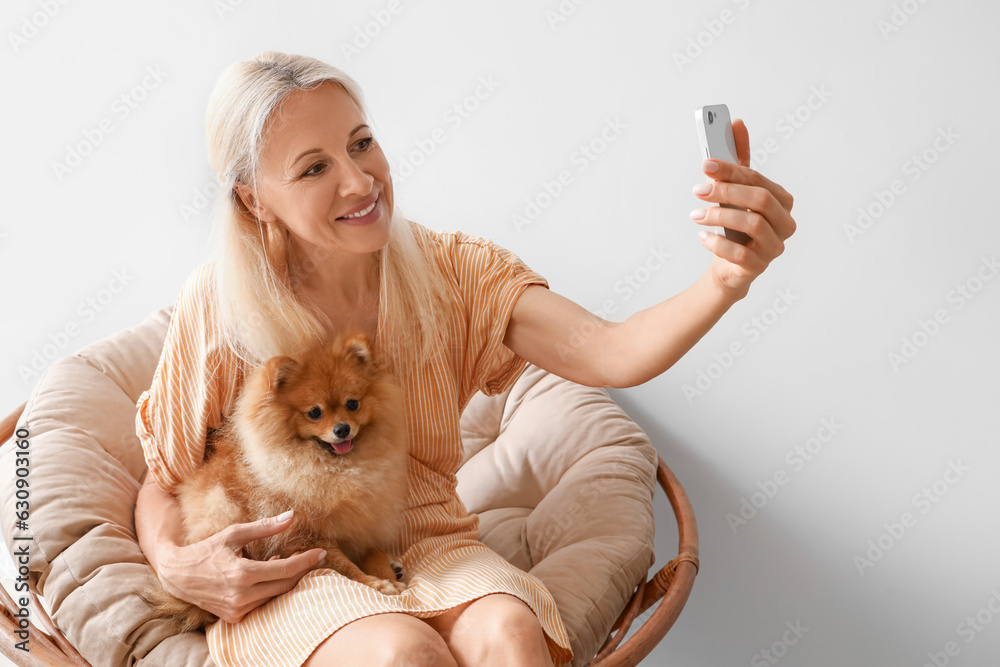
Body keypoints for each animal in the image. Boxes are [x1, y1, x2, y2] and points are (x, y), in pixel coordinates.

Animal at [143, 334, 408, 632]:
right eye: (314, 413)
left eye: (353, 404)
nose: (342, 429)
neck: (333, 469)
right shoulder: (304, 538)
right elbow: (346, 567)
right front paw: (377, 583)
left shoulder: (361, 525)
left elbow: (373, 551)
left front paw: (387, 574)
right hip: (222, 507)